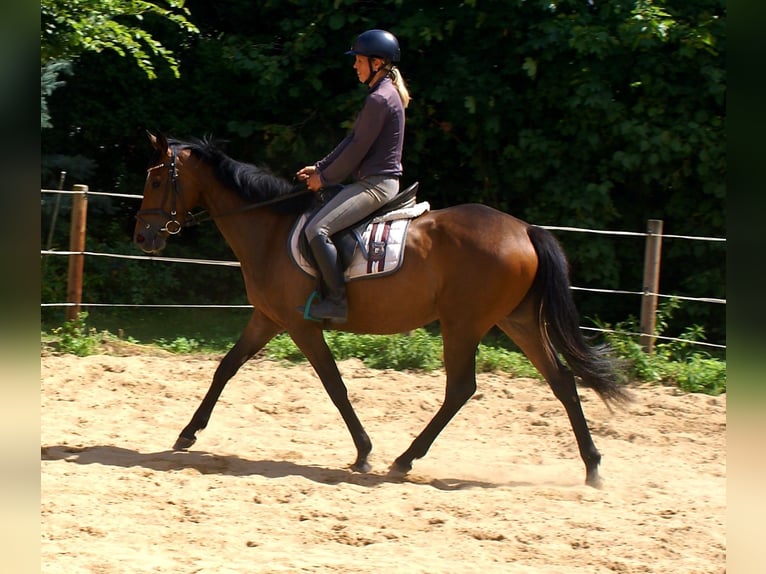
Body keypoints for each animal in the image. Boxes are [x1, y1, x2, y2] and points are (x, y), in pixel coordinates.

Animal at [133, 132, 630, 487]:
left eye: (156, 180)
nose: (143, 237)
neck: (270, 230)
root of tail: (525, 229)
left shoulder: (300, 326)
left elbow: (335, 386)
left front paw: (364, 452)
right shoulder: (268, 319)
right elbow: (225, 368)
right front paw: (188, 432)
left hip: (464, 324)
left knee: (461, 389)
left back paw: (404, 460)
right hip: (517, 320)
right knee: (561, 381)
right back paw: (592, 467)